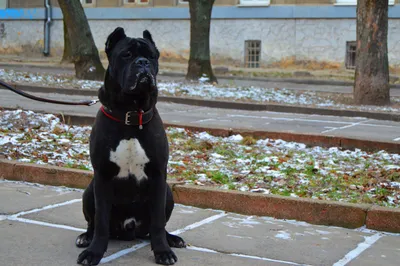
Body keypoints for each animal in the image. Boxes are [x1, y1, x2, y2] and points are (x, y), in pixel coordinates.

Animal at [75, 28, 186, 264]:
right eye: (126, 55)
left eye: (152, 56)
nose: (142, 63)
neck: (131, 113)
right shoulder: (102, 177)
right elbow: (101, 221)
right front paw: (94, 252)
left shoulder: (158, 176)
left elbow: (158, 222)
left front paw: (163, 251)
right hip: (89, 190)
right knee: (93, 223)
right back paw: (85, 237)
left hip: (168, 192)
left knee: (157, 226)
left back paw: (172, 239)